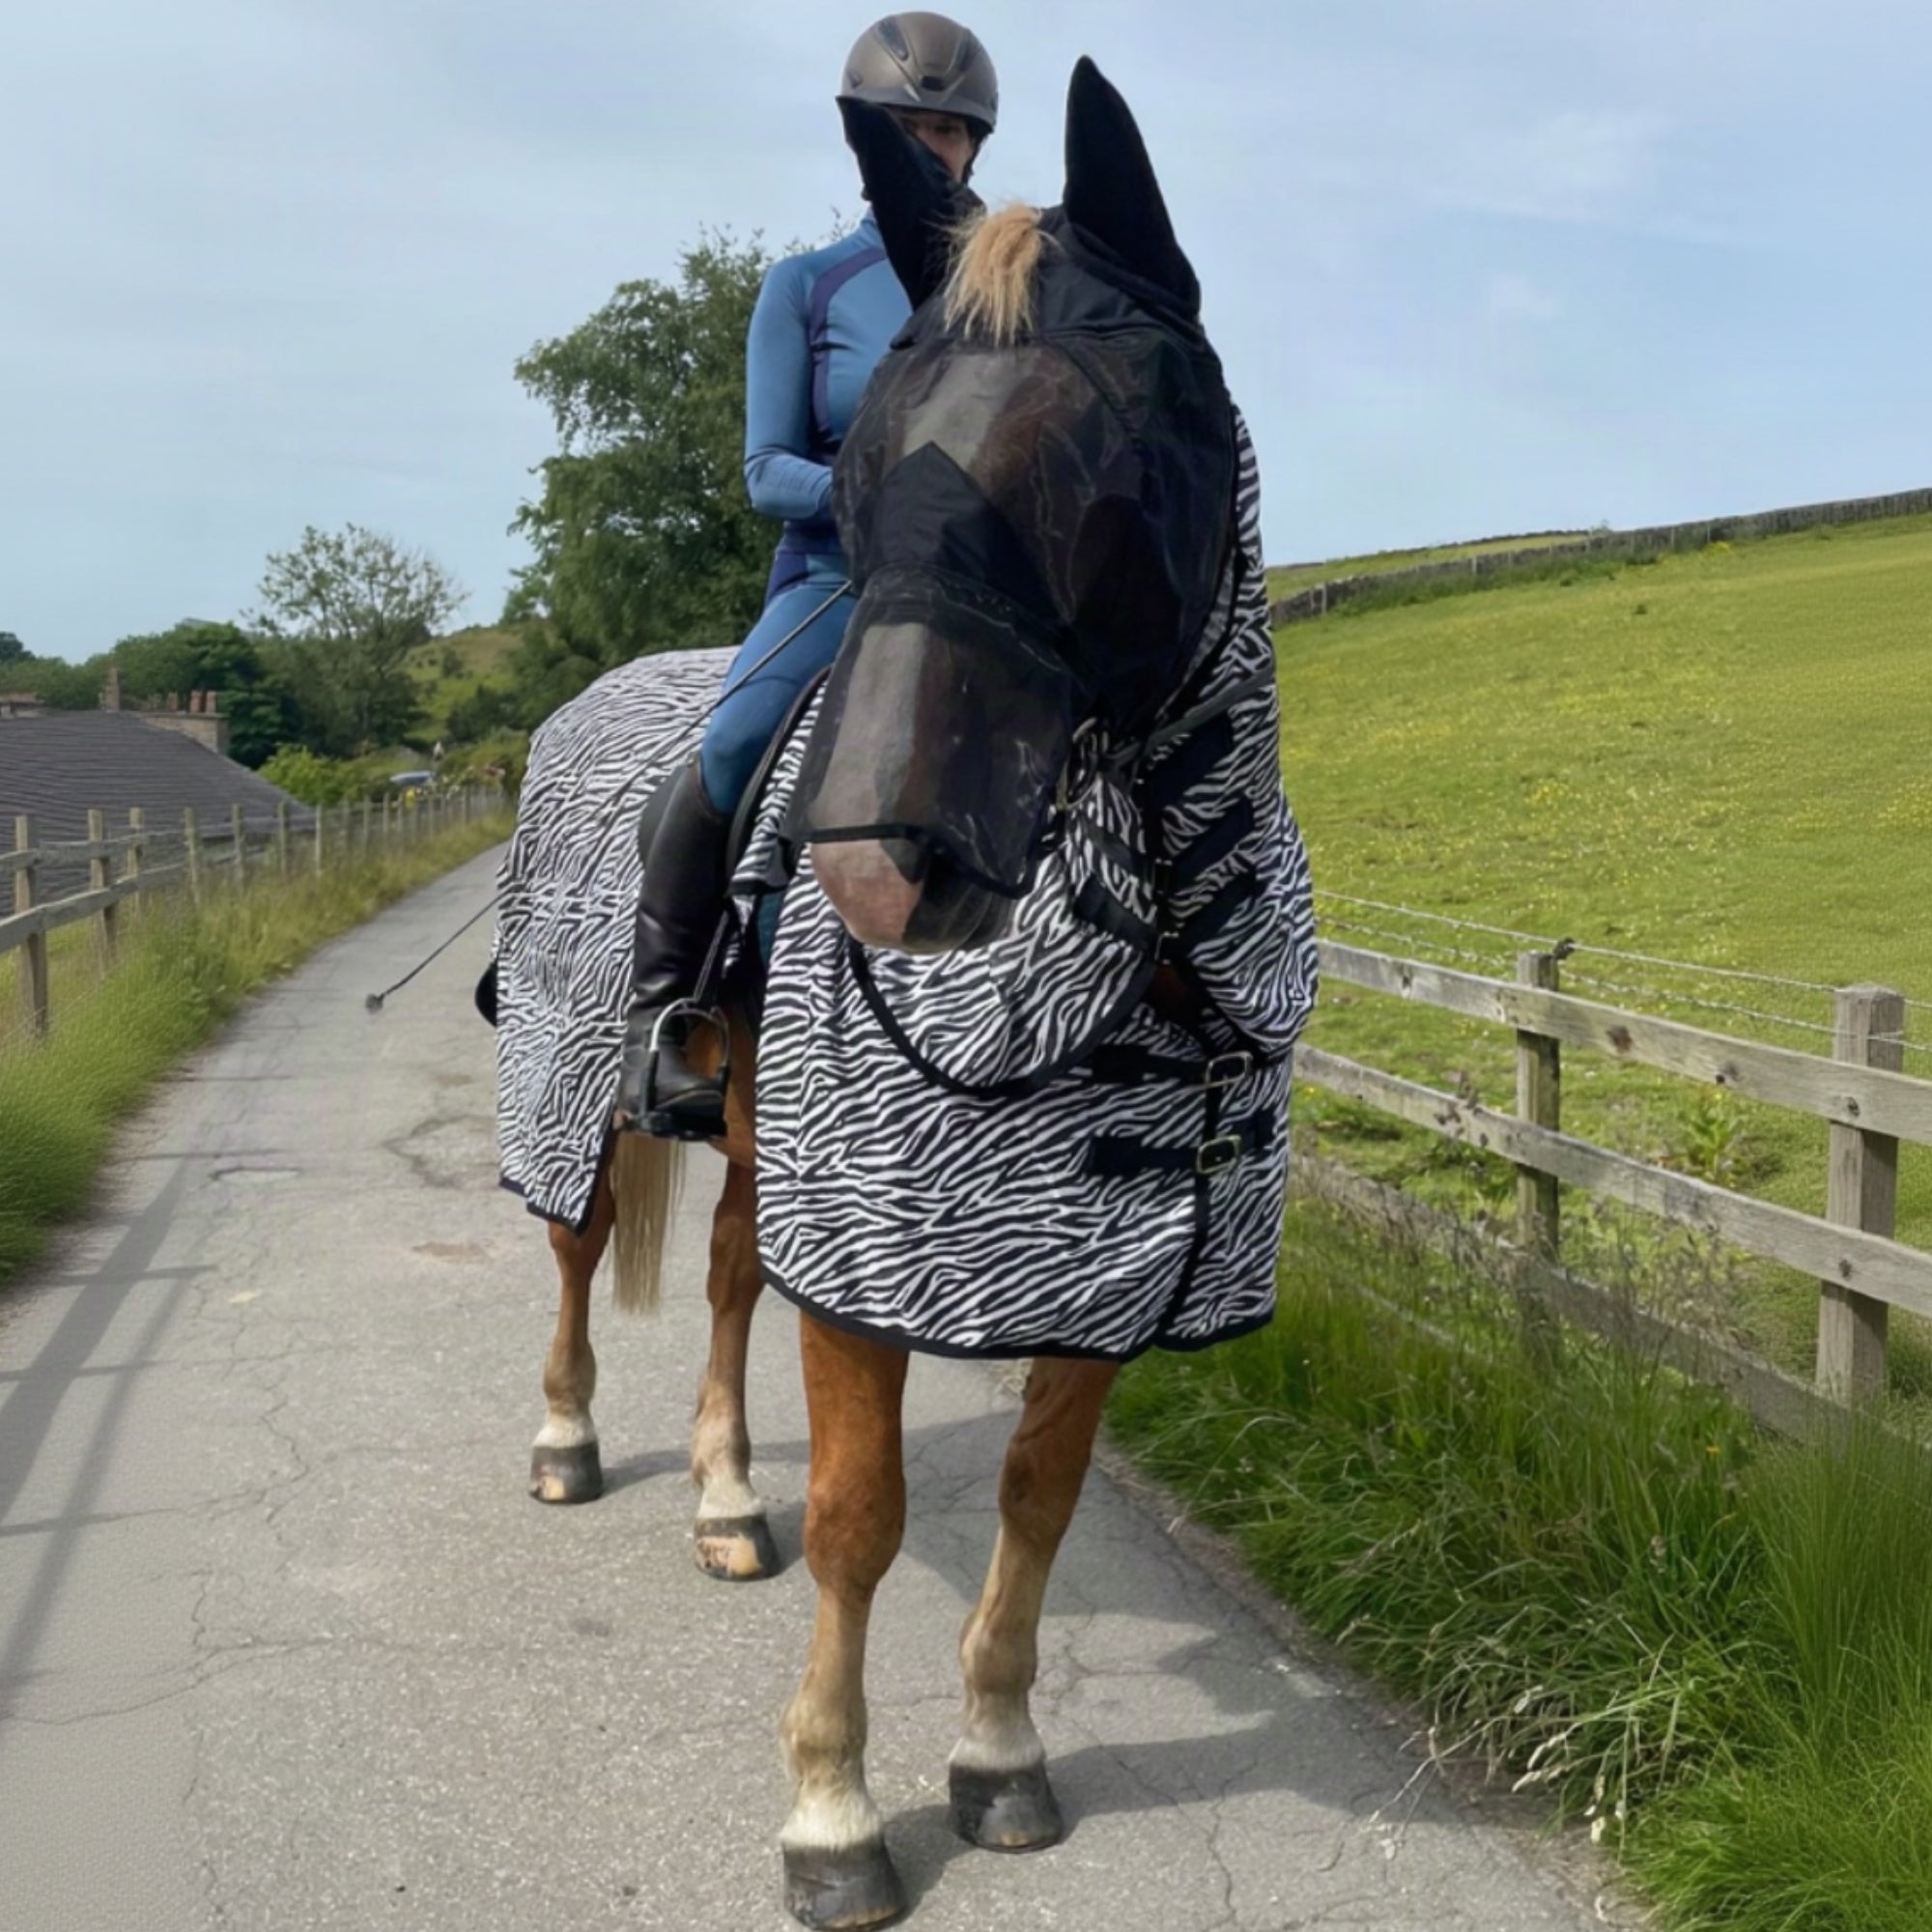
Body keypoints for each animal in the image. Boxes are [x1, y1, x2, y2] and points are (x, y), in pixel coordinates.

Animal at [493, 59, 1317, 1929]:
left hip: (749, 1120)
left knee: (729, 1281)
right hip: (581, 1087)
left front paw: (999, 1752)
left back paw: (728, 1499)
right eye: (860, 469)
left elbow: (1040, 1495)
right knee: (581, 1249)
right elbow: (865, 1519)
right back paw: (568, 1441)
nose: (879, 878)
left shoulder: (1101, 1271)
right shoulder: (868, 1236)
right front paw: (830, 1812)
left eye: (1112, 452)